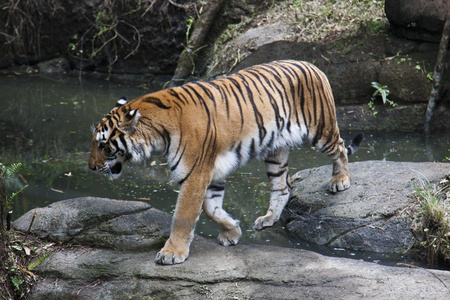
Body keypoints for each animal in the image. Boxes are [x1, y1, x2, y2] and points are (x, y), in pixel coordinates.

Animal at [88, 59, 362, 264]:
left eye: (102, 144)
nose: (91, 167)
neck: (157, 133)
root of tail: (311, 64)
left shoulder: (195, 174)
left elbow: (183, 216)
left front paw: (171, 253)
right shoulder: (211, 173)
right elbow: (211, 209)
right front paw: (232, 232)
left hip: (321, 130)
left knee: (340, 148)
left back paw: (340, 180)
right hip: (275, 151)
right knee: (283, 186)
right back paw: (268, 219)